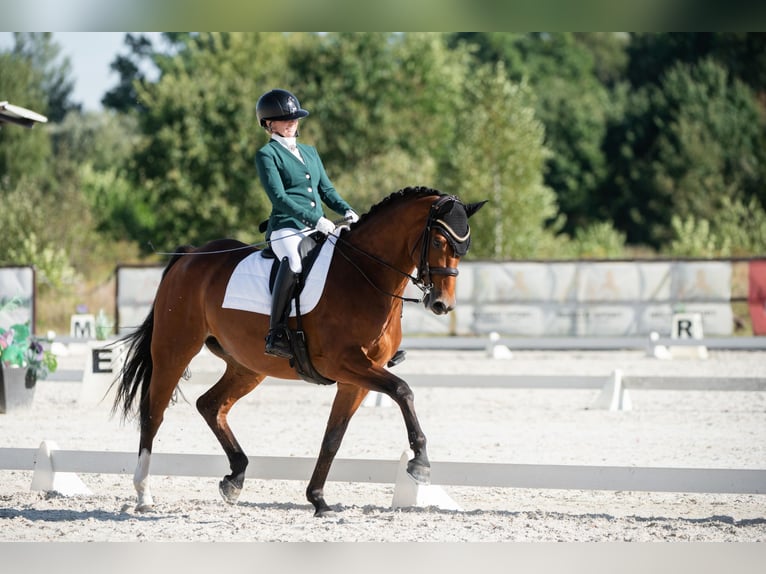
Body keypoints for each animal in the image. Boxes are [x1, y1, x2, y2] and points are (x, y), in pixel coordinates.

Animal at [112, 186, 486, 516]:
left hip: (248, 366)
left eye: (464, 247)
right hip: (174, 350)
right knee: (153, 413)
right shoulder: (346, 364)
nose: (441, 304)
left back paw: (235, 478)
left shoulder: (356, 379)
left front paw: (318, 499)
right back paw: (144, 496)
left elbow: (333, 437)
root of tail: (190, 256)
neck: (364, 277)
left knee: (211, 404)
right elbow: (403, 390)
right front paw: (420, 462)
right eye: (438, 241)